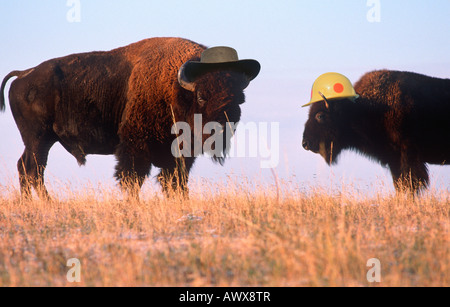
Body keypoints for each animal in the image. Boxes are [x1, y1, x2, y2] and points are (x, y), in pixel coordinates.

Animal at [0, 36, 260, 200]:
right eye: (202, 96)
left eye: (240, 99)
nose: (221, 128)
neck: (175, 89)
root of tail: (24, 74)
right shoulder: (136, 146)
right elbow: (132, 177)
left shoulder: (181, 154)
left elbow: (176, 181)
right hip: (38, 139)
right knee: (33, 170)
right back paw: (47, 203)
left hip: (39, 141)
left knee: (25, 168)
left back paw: (29, 203)